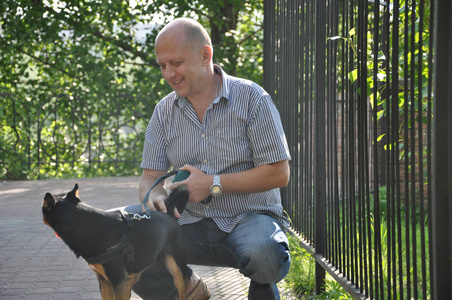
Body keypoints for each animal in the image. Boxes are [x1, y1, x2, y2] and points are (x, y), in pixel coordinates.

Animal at [42, 183, 191, 300]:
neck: (84, 225)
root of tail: (169, 213)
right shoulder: (106, 281)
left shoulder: (119, 281)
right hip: (134, 273)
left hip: (177, 270)